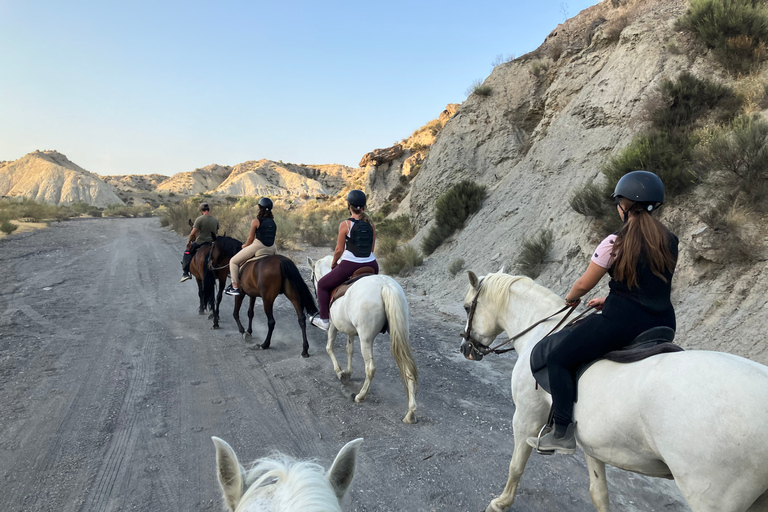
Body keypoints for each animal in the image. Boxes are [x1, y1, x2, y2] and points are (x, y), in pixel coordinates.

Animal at [308, 256, 420, 424]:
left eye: (311, 278)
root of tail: (385, 285)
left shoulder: (333, 326)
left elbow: (329, 347)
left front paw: (340, 373)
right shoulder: (350, 331)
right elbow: (349, 350)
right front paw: (347, 373)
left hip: (366, 339)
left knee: (370, 368)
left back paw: (361, 396)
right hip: (401, 333)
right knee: (408, 368)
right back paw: (410, 412)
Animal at [460, 270, 768, 510]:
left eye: (466, 308)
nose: (466, 348)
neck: (541, 331)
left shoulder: (526, 415)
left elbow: (516, 465)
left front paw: (500, 503)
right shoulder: (591, 442)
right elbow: (599, 493)